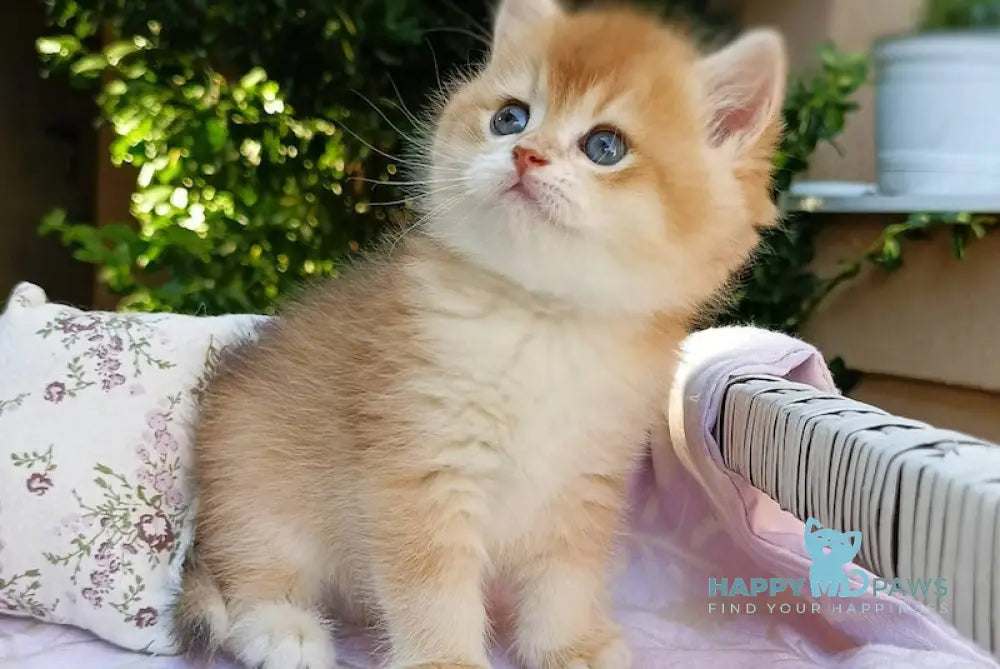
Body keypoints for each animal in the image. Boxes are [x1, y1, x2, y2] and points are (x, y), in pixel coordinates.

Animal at [174, 2, 788, 664]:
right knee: (249, 573)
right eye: (509, 118)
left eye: (605, 146)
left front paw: (568, 644)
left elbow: (565, 576)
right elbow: (432, 586)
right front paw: (445, 658)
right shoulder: (420, 469)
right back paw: (281, 627)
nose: (525, 154)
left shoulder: (584, 482)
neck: (543, 321)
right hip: (258, 491)